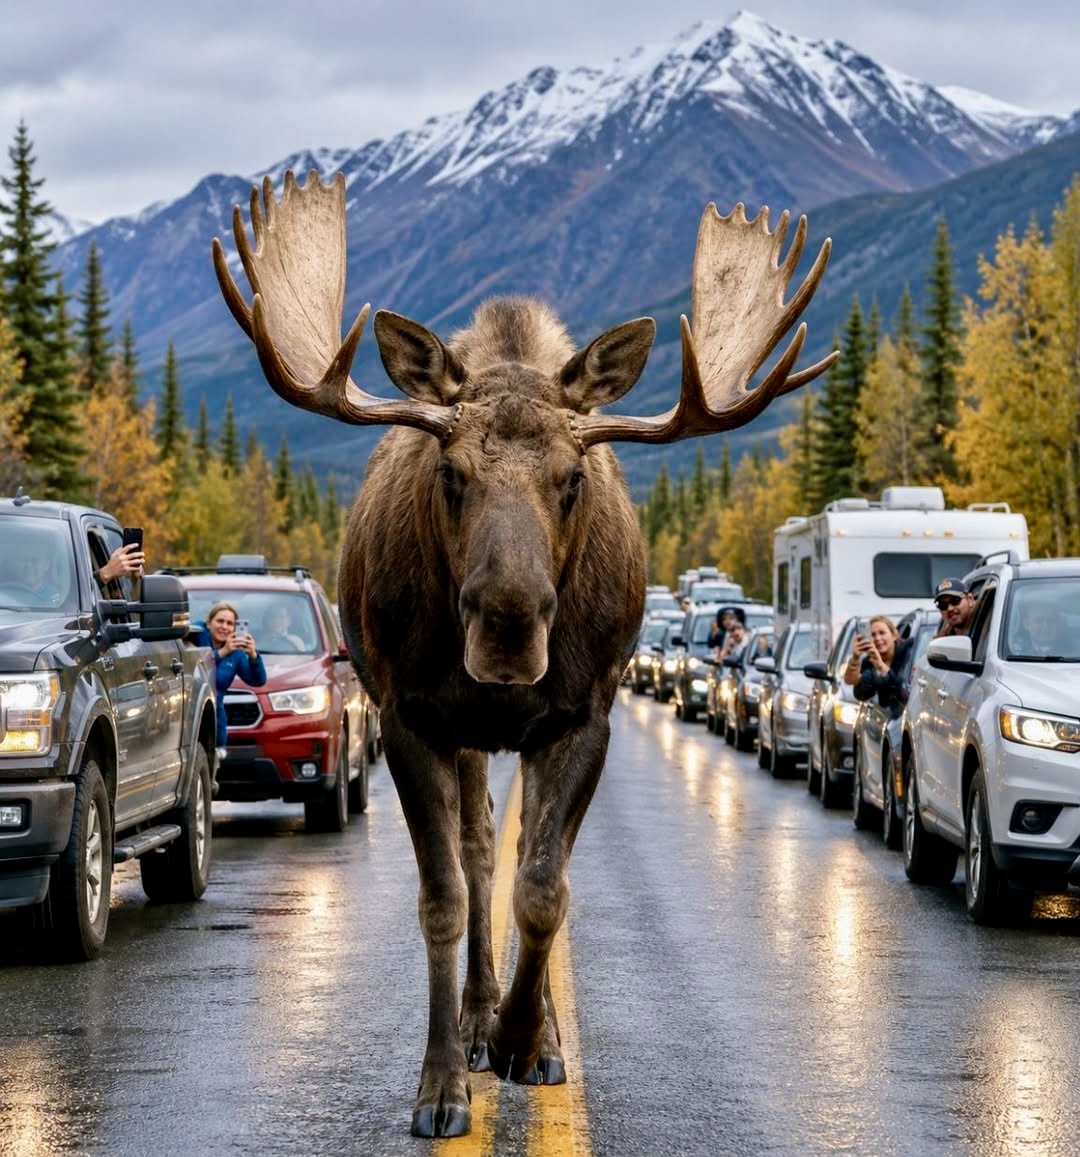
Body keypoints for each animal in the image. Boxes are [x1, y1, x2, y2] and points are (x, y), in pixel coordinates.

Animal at [212, 170, 835, 1137]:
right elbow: (446, 896)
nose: (509, 624)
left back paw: (533, 1033)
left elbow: (544, 885)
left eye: (571, 480)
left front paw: (523, 1038)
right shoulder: (412, 718)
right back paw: (476, 1019)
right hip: (464, 736)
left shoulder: (583, 716)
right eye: (450, 473)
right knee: (477, 852)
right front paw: (445, 1079)